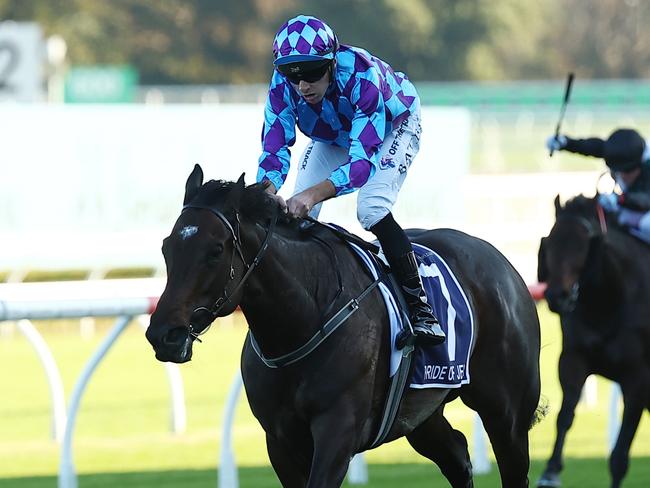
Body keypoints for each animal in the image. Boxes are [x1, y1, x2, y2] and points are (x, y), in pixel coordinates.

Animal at [147, 165, 540, 488]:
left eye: (215, 250)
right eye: (166, 247)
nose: (163, 335)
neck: (300, 322)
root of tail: (501, 261)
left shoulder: (338, 431)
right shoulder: (280, 441)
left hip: (506, 410)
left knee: (513, 467)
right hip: (421, 413)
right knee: (457, 456)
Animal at [536, 194, 648, 488]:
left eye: (583, 246)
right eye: (550, 242)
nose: (557, 297)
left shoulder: (638, 377)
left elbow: (619, 457)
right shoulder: (574, 358)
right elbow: (565, 415)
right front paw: (550, 471)